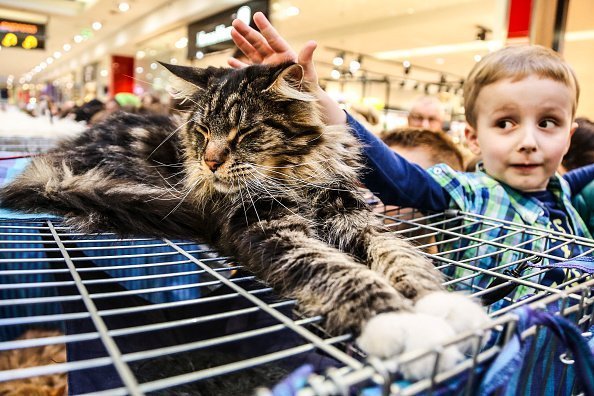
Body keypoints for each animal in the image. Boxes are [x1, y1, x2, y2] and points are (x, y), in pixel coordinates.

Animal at [1, 62, 486, 380]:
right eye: (201, 132)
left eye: (246, 133)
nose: (211, 162)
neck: (294, 173)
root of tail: (60, 155)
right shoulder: (264, 226)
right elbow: (340, 271)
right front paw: (405, 328)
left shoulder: (349, 212)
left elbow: (401, 257)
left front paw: (444, 308)